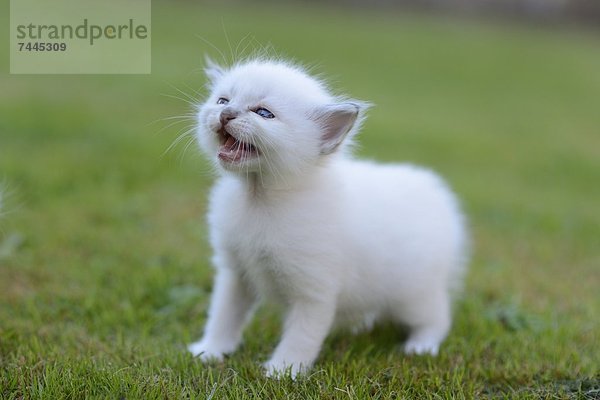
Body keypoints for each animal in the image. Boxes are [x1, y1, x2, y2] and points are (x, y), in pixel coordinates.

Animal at [188, 57, 468, 376]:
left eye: (264, 113)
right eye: (223, 100)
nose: (225, 113)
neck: (258, 198)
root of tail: (437, 193)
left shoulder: (313, 290)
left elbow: (302, 336)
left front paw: (282, 372)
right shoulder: (235, 273)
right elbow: (223, 315)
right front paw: (210, 351)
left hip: (415, 293)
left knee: (436, 318)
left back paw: (421, 347)